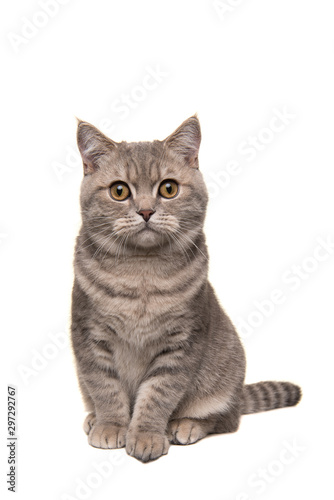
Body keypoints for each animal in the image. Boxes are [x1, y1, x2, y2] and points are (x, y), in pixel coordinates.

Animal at [72, 115, 302, 462]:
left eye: (168, 188)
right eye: (119, 191)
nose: (145, 211)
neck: (141, 272)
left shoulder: (182, 342)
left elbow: (158, 394)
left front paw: (146, 434)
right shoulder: (89, 335)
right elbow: (104, 387)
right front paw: (111, 425)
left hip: (224, 381)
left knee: (227, 419)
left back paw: (186, 424)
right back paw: (92, 418)